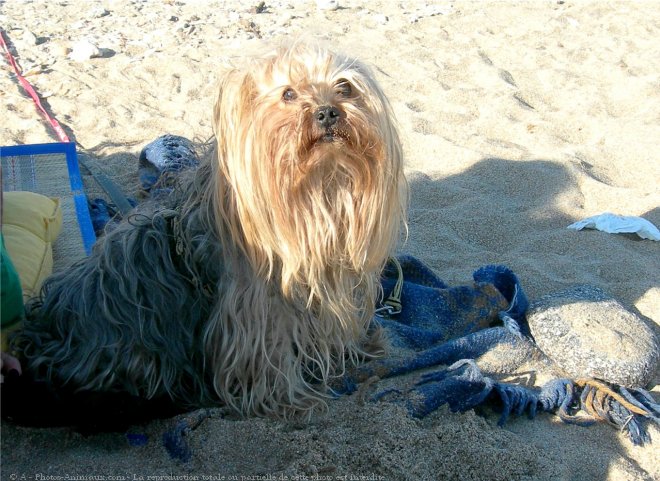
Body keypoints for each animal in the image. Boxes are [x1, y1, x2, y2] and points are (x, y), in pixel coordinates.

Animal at [2, 45, 408, 428]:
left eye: (345, 88)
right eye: (288, 94)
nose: (327, 112)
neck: (318, 187)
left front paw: (358, 349)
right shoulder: (254, 308)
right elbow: (267, 354)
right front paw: (292, 401)